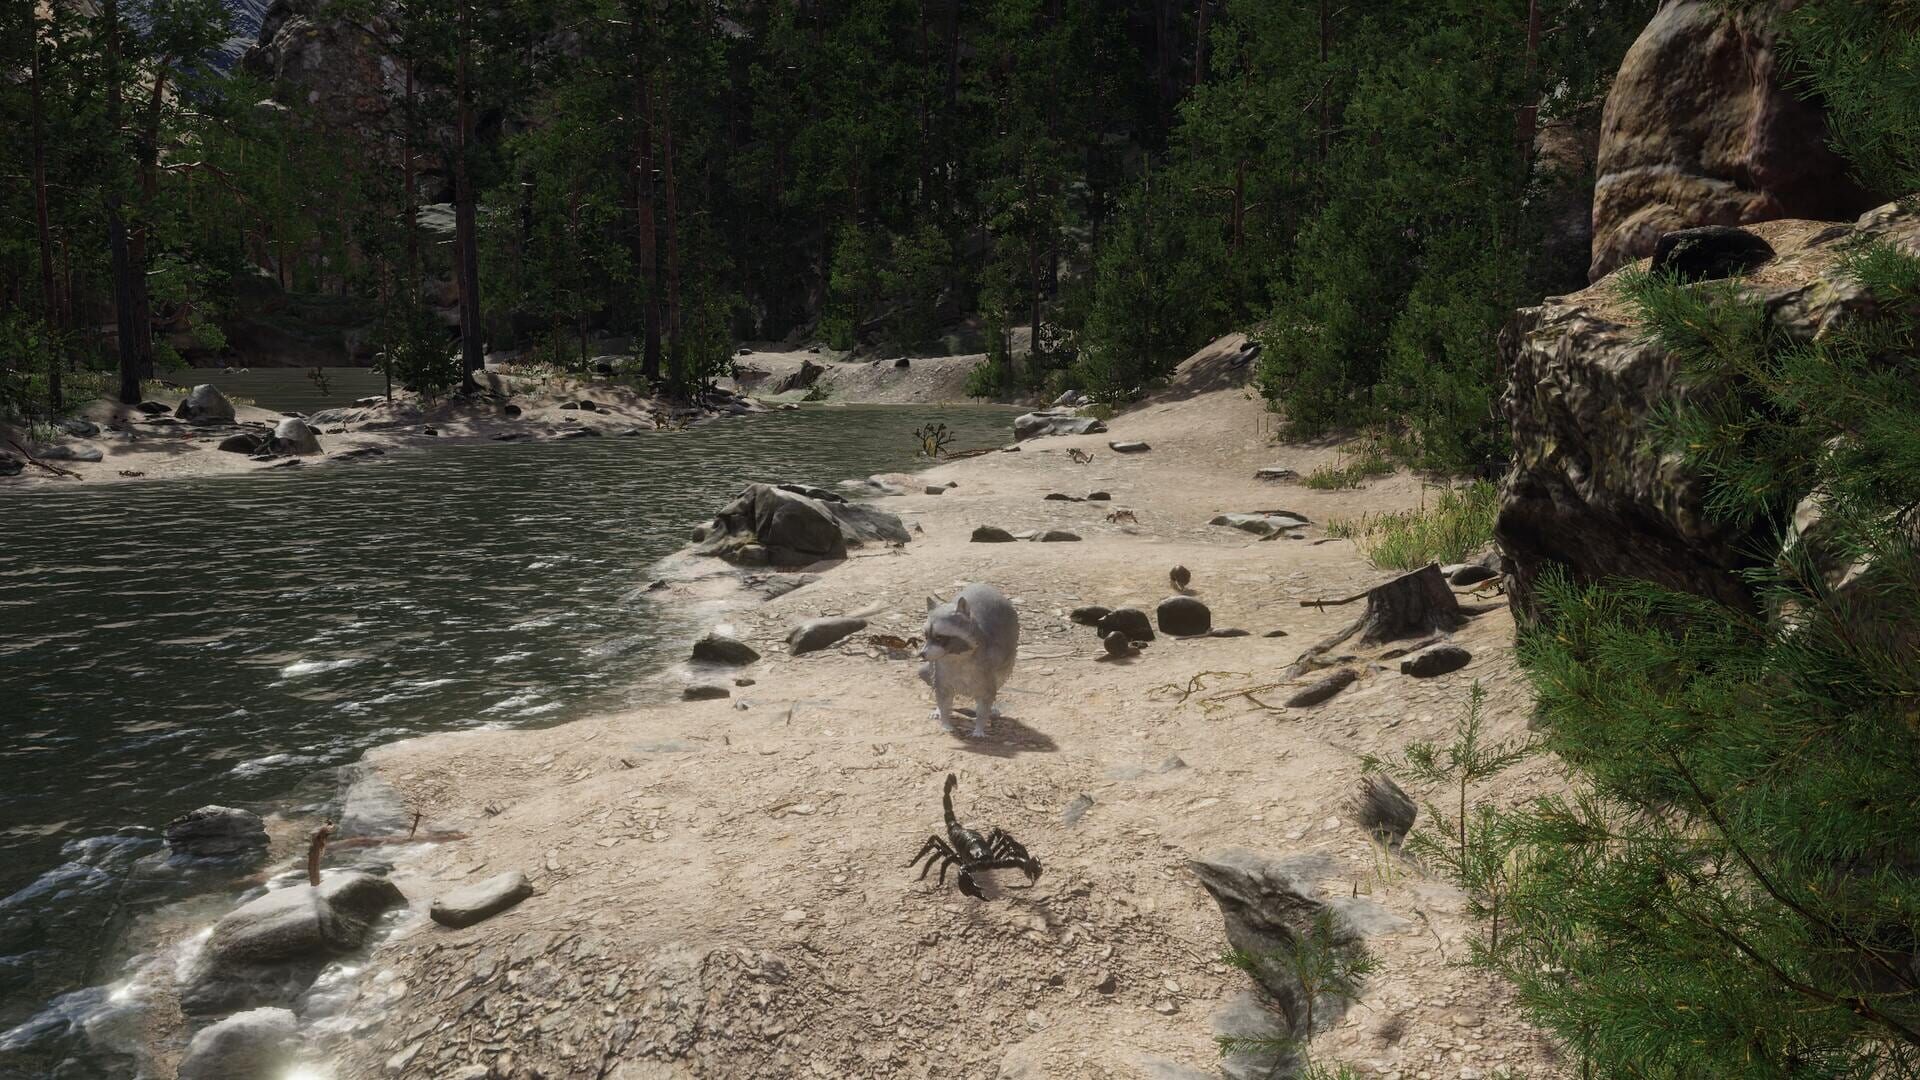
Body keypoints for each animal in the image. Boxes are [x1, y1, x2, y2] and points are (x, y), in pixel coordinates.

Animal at [918, 583, 1020, 737]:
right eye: (926, 636)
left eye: (939, 637)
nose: (922, 654)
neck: (954, 656)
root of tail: (984, 585)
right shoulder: (940, 669)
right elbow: (942, 697)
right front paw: (944, 721)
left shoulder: (986, 667)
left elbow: (986, 699)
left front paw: (980, 726)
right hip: (931, 668)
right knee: (925, 674)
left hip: (1008, 653)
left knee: (999, 679)